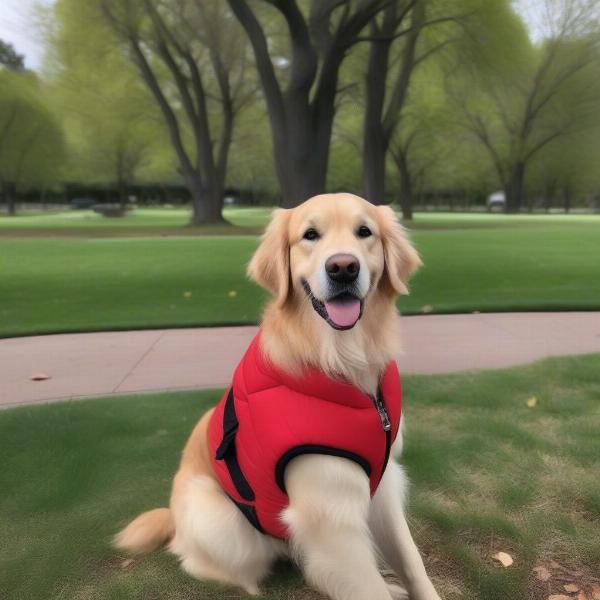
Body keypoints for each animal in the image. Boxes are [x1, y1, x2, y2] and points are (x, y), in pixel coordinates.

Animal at [115, 193, 440, 600]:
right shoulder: (329, 514)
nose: (343, 268)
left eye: (364, 231)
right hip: (224, 525)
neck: (342, 360)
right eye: (310, 235)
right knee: (204, 560)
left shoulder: (381, 488)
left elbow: (411, 560)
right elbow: (367, 588)